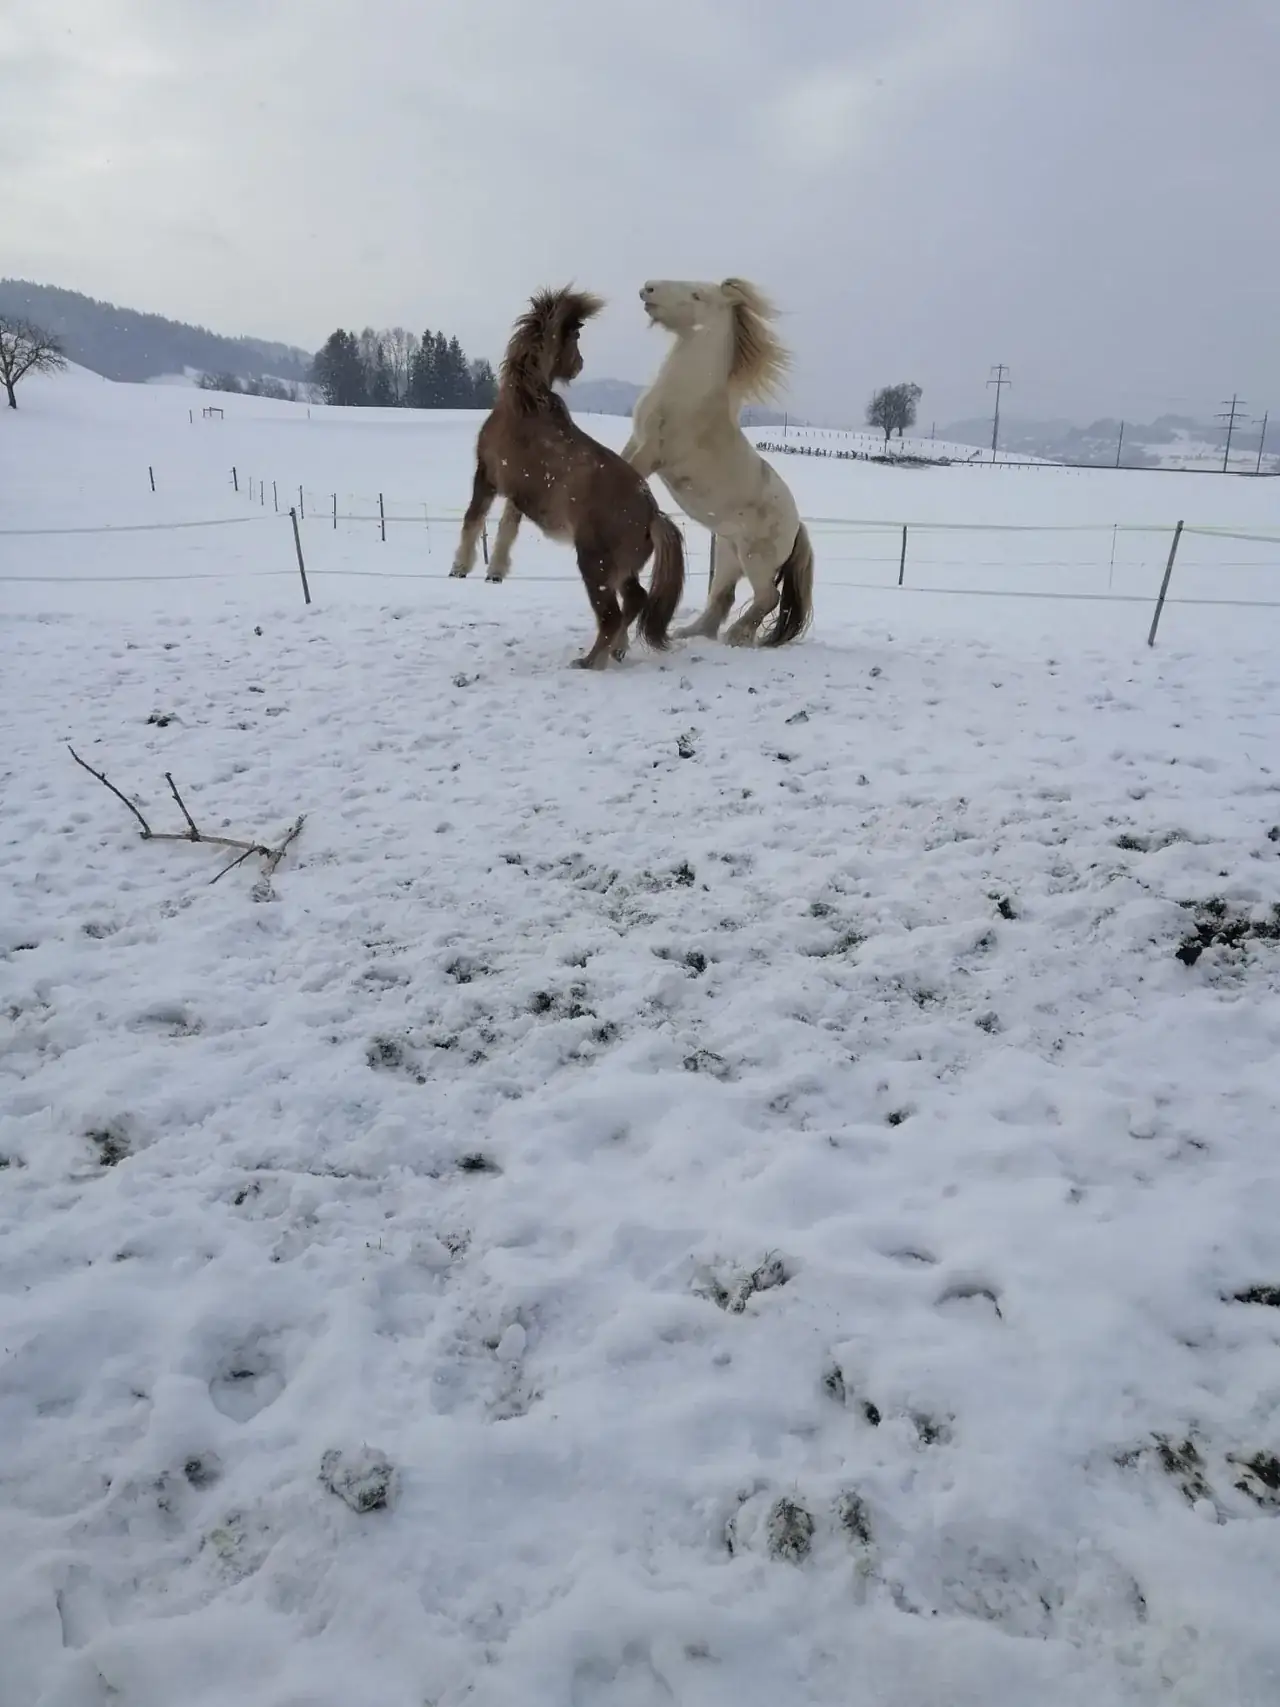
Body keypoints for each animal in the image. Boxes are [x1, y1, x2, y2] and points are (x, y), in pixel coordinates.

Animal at [449, 286, 685, 670]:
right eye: (575, 337)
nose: (580, 364)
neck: (525, 402)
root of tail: (653, 513)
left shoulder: (486, 476)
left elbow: (474, 518)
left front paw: (460, 566)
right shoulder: (518, 493)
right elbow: (507, 528)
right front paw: (495, 570)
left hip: (594, 564)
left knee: (612, 615)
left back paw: (590, 662)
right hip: (624, 569)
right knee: (635, 599)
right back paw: (617, 651)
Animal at [621, 277, 814, 647]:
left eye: (697, 295)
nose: (648, 289)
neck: (687, 395)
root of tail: (797, 526)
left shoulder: (653, 452)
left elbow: (631, 473)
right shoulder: (636, 440)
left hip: (755, 560)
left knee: (768, 597)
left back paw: (736, 636)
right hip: (728, 555)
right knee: (723, 595)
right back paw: (692, 632)